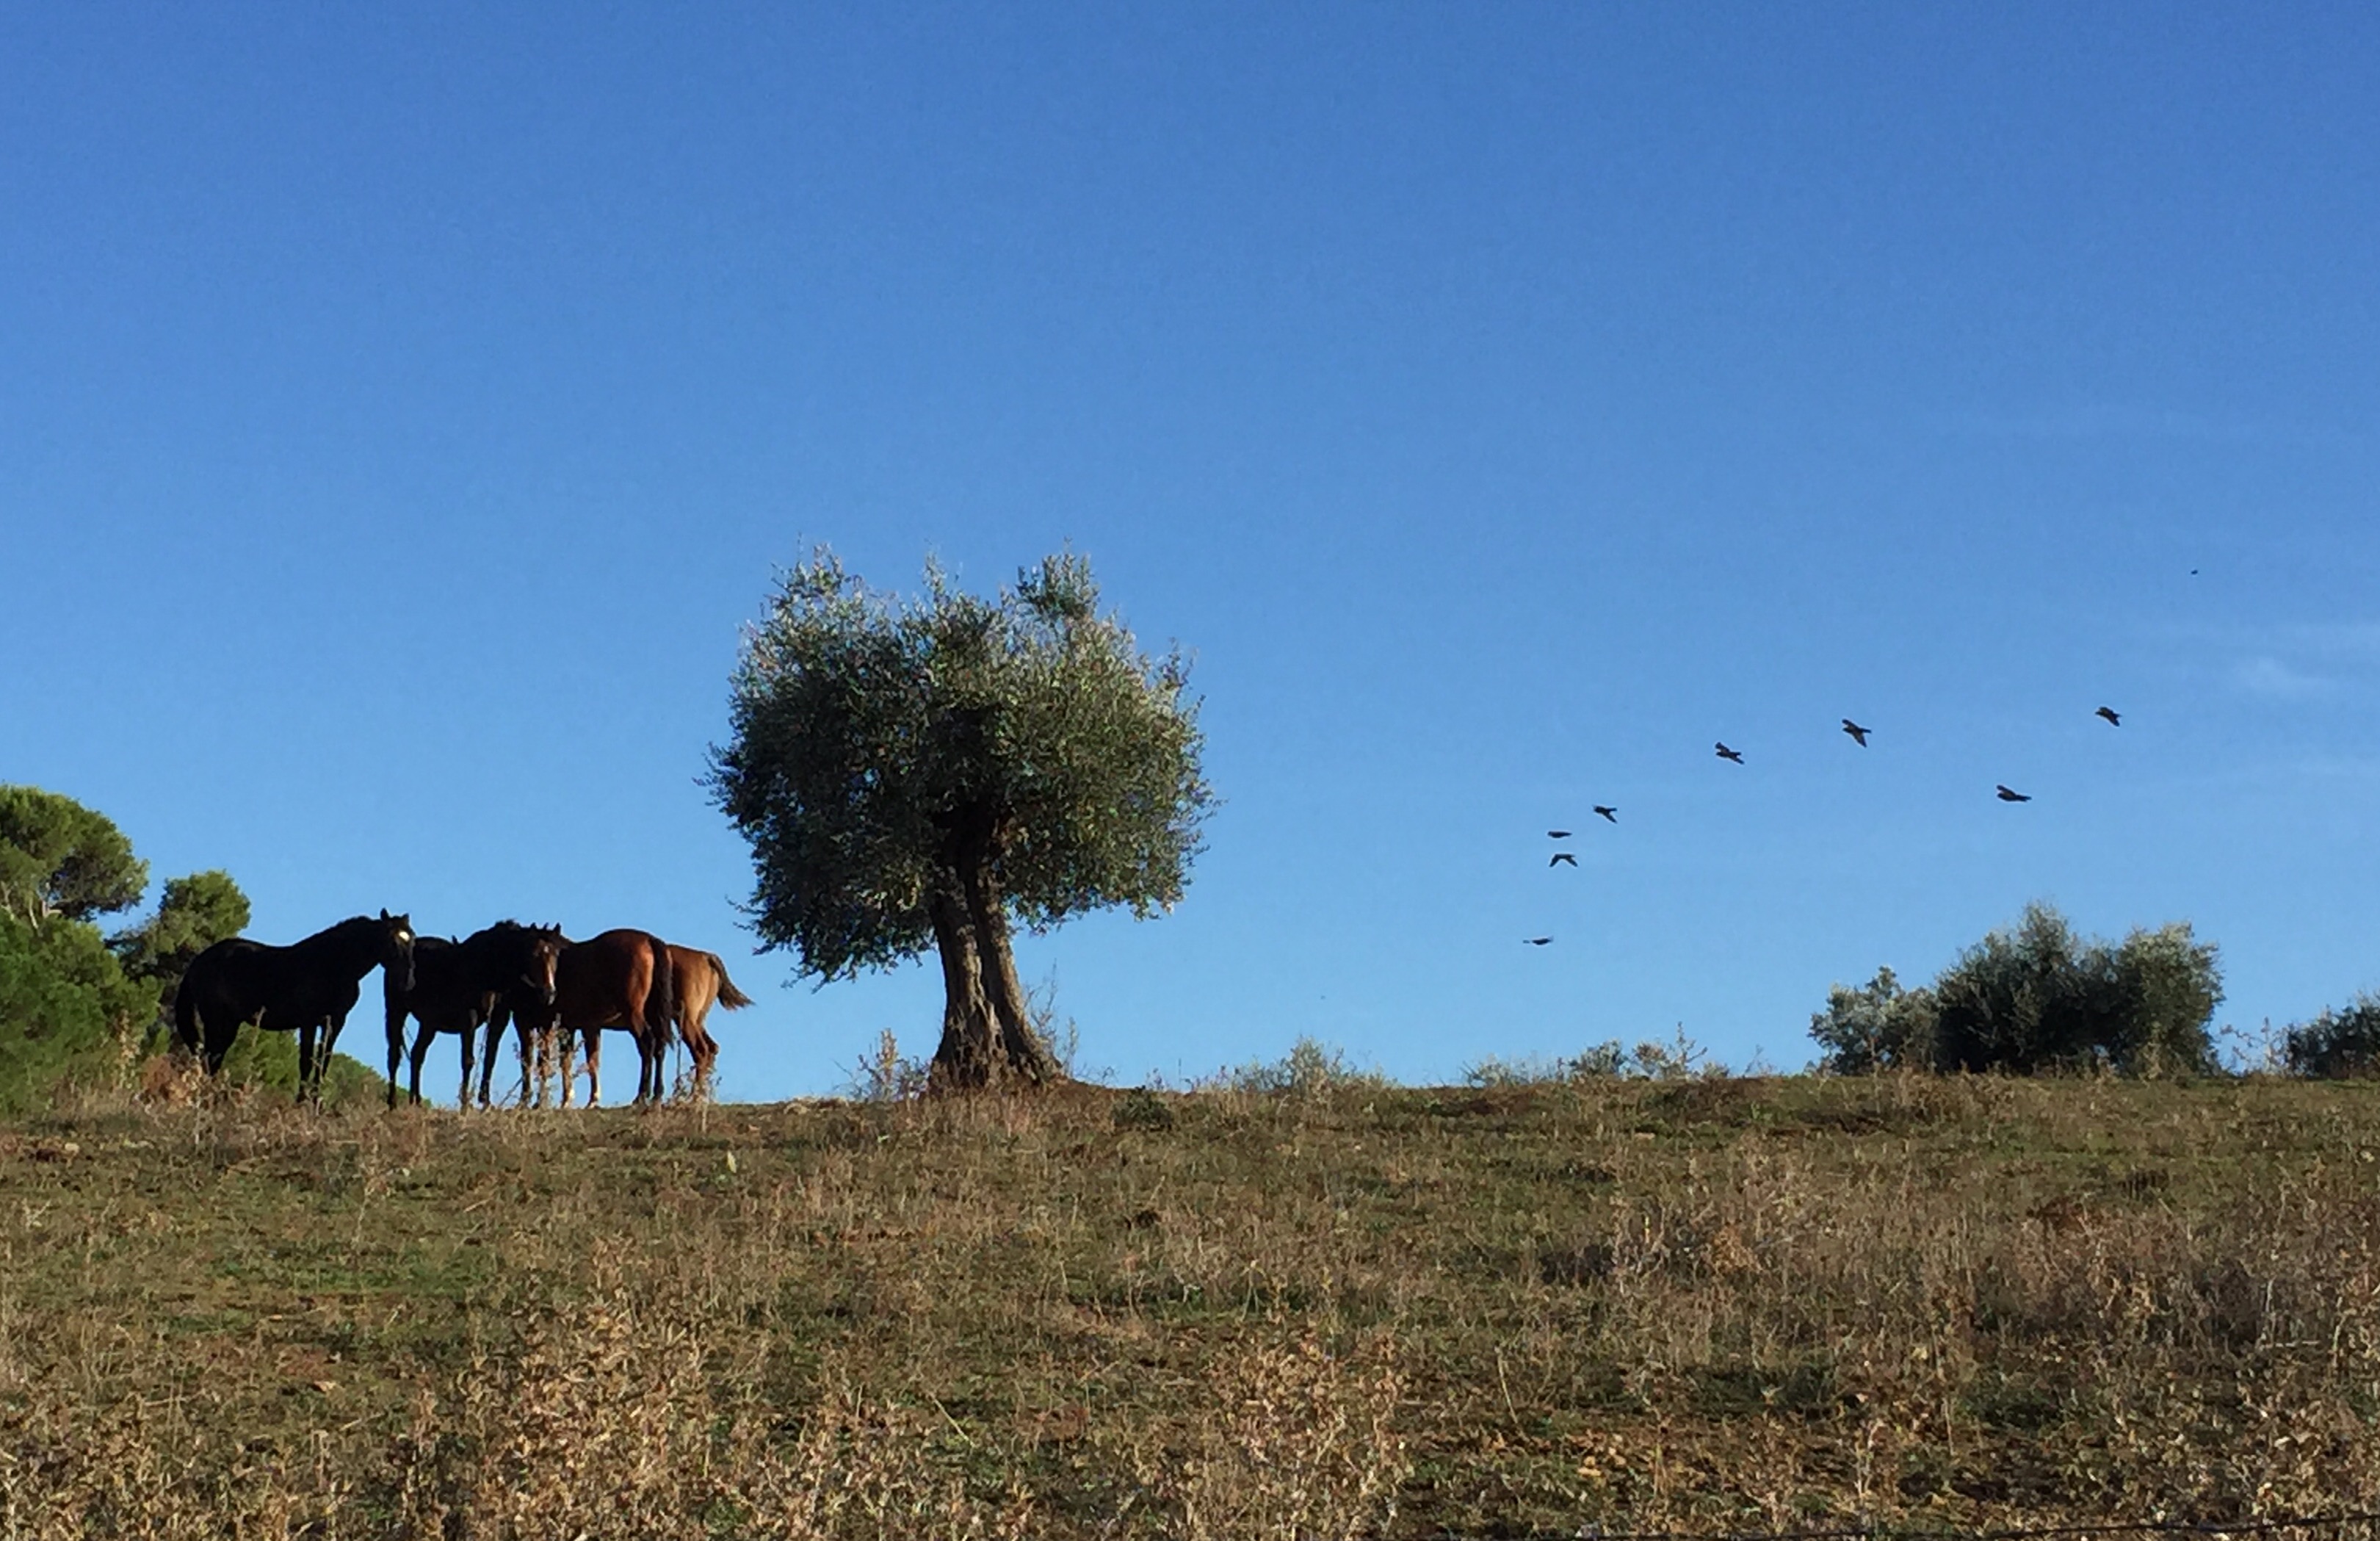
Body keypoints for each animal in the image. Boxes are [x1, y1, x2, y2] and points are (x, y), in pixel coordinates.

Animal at [176, 909, 419, 1105]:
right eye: (392, 939)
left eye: (413, 940)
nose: (408, 982)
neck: (334, 965)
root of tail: (199, 961)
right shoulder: (309, 1022)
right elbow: (306, 1063)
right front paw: (301, 1103)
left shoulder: (335, 1023)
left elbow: (322, 1063)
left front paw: (316, 1106)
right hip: (215, 1019)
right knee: (210, 1058)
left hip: (230, 1023)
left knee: (214, 1059)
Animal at [383, 924, 564, 1114]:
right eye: (534, 954)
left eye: (556, 954)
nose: (549, 993)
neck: (486, 970)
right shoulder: (469, 1019)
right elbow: (468, 1060)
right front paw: (465, 1104)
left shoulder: (499, 1020)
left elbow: (490, 1059)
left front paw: (486, 1102)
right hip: (396, 1012)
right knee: (394, 1055)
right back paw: (393, 1103)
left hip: (429, 1024)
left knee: (417, 1055)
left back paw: (416, 1102)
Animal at [480, 928, 676, 1110]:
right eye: (534, 955)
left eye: (555, 956)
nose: (549, 993)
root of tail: (649, 940)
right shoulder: (569, 1027)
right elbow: (569, 1060)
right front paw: (569, 1100)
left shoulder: (539, 1024)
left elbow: (537, 1061)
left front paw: (533, 1102)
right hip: (654, 1017)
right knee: (659, 1048)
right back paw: (657, 1095)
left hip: (634, 1015)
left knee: (647, 1044)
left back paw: (641, 1096)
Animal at [666, 938, 747, 1095]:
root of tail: (705, 957)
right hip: (697, 1019)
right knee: (712, 1048)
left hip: (685, 1017)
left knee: (701, 1050)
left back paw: (693, 1096)